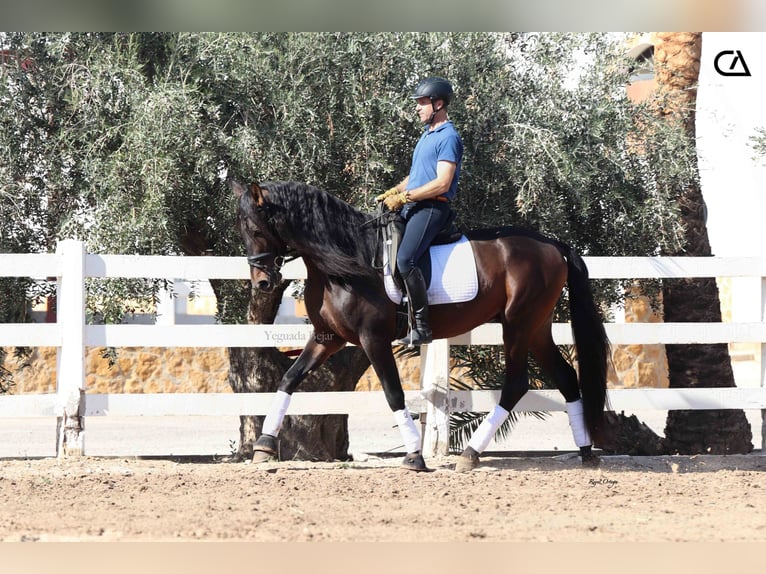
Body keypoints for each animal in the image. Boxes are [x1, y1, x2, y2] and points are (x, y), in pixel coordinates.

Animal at [234, 180, 612, 472]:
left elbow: (393, 393)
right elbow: (288, 379)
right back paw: (585, 452)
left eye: (255, 230)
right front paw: (264, 445)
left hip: (517, 325)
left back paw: (471, 454)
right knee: (567, 379)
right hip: (536, 327)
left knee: (516, 384)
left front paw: (415, 455)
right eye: (245, 231)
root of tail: (554, 245)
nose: (263, 284)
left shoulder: (373, 340)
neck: (343, 265)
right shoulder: (327, 338)